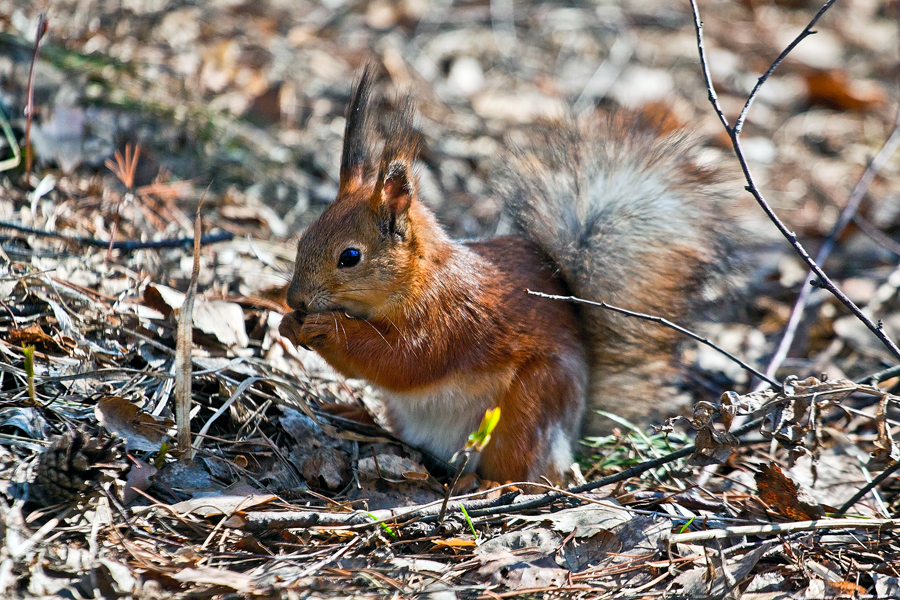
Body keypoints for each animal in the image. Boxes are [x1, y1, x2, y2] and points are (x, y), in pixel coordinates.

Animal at [280, 68, 740, 486]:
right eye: (304, 237)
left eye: (350, 257)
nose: (294, 300)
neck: (419, 279)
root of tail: (572, 434)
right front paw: (288, 324)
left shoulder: (449, 320)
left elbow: (400, 361)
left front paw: (326, 328)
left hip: (525, 413)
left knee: (526, 473)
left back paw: (490, 486)